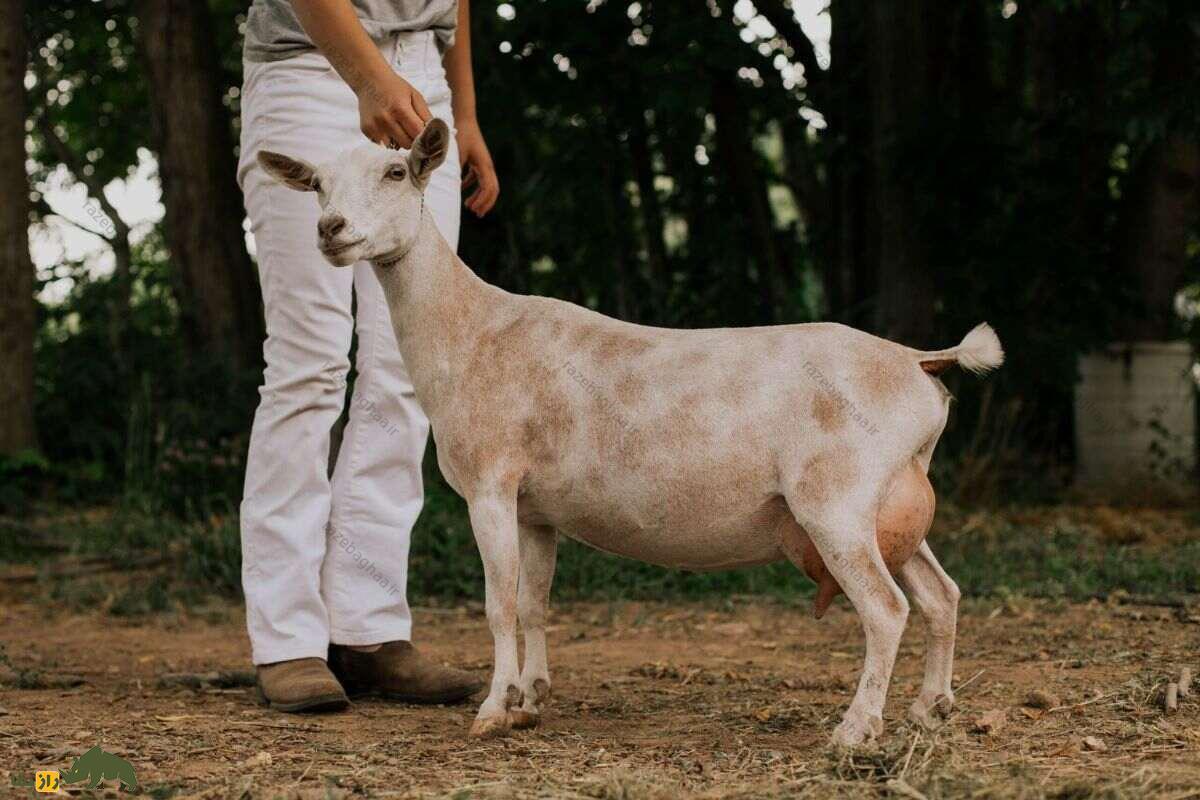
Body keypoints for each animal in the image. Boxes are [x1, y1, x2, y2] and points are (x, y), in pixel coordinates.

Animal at [260, 120, 1003, 753]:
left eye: (394, 171)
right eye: (317, 183)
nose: (330, 229)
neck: (471, 332)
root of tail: (918, 363)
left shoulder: (491, 484)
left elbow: (499, 605)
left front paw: (494, 710)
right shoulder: (536, 508)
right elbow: (532, 602)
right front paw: (531, 698)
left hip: (837, 501)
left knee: (887, 609)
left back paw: (856, 730)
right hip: (891, 505)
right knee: (941, 596)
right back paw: (929, 710)